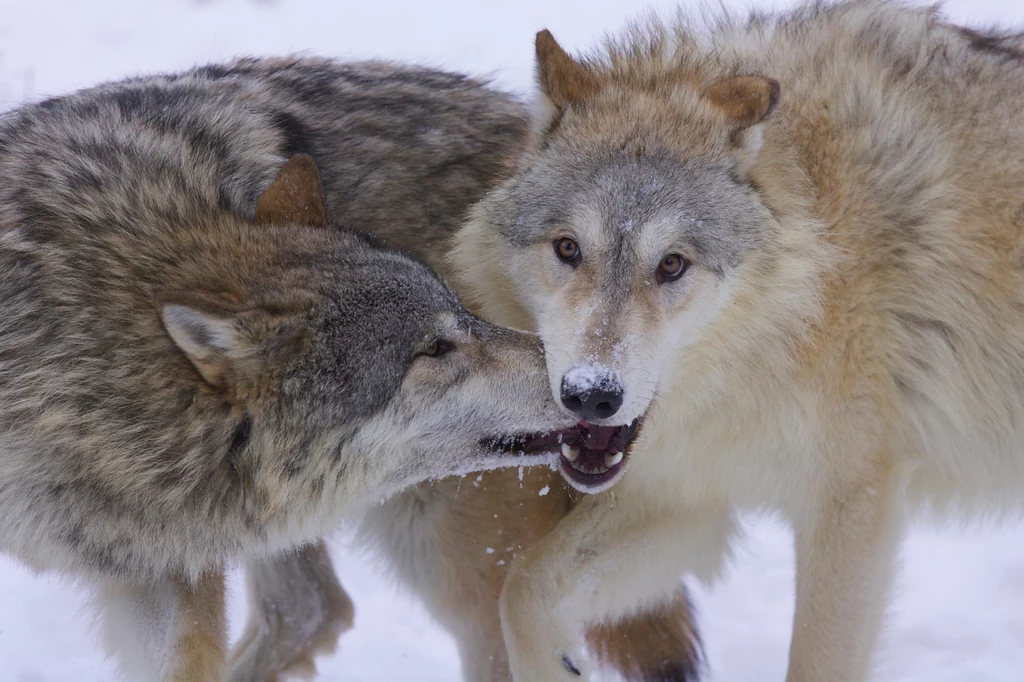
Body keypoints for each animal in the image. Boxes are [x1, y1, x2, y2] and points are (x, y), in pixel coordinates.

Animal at [444, 2, 1024, 675]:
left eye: (672, 264)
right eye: (568, 249)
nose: (591, 395)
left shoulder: (853, 501)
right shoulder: (690, 494)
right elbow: (522, 591)